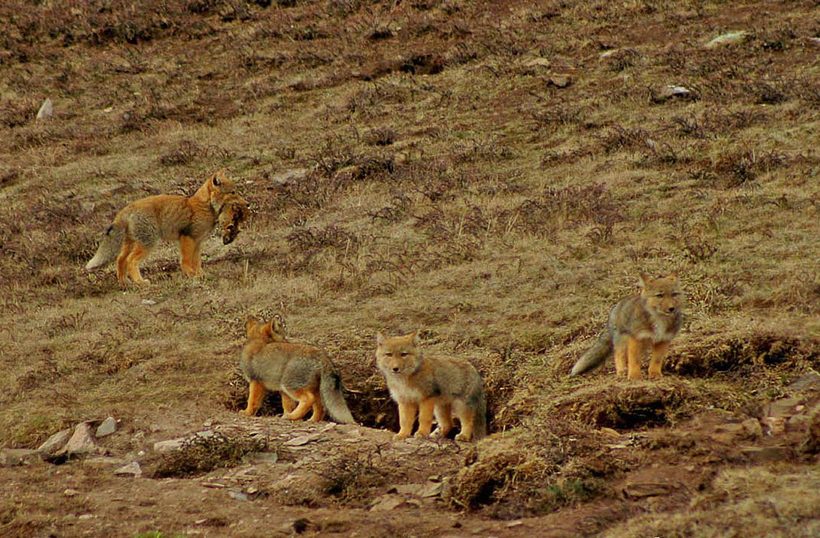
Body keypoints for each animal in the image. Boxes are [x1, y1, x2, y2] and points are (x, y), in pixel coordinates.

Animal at [85, 170, 250, 284]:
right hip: (148, 244)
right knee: (131, 261)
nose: (248, 204)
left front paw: (200, 275)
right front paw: (191, 276)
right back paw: (141, 282)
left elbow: (197, 262)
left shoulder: (198, 242)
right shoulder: (187, 238)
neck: (205, 206)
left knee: (120, 260)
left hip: (131, 244)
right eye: (233, 192)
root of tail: (126, 208)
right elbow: (186, 261)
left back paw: (124, 283)